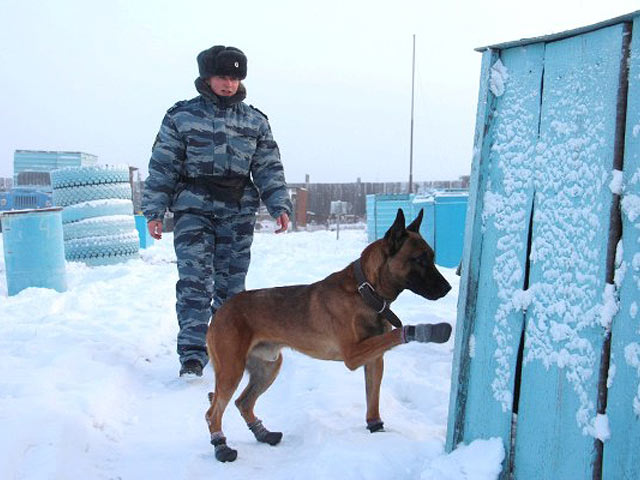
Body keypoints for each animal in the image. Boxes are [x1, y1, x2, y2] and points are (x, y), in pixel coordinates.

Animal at [204, 209, 450, 462]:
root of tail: (221, 310)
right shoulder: (353, 354)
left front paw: (376, 429)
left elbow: (373, 399)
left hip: (268, 367)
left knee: (243, 402)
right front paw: (426, 330)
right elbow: (395, 335)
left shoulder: (374, 360)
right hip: (232, 370)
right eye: (419, 259)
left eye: (432, 257)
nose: (448, 288)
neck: (365, 291)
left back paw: (263, 434)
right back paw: (221, 446)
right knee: (213, 412)